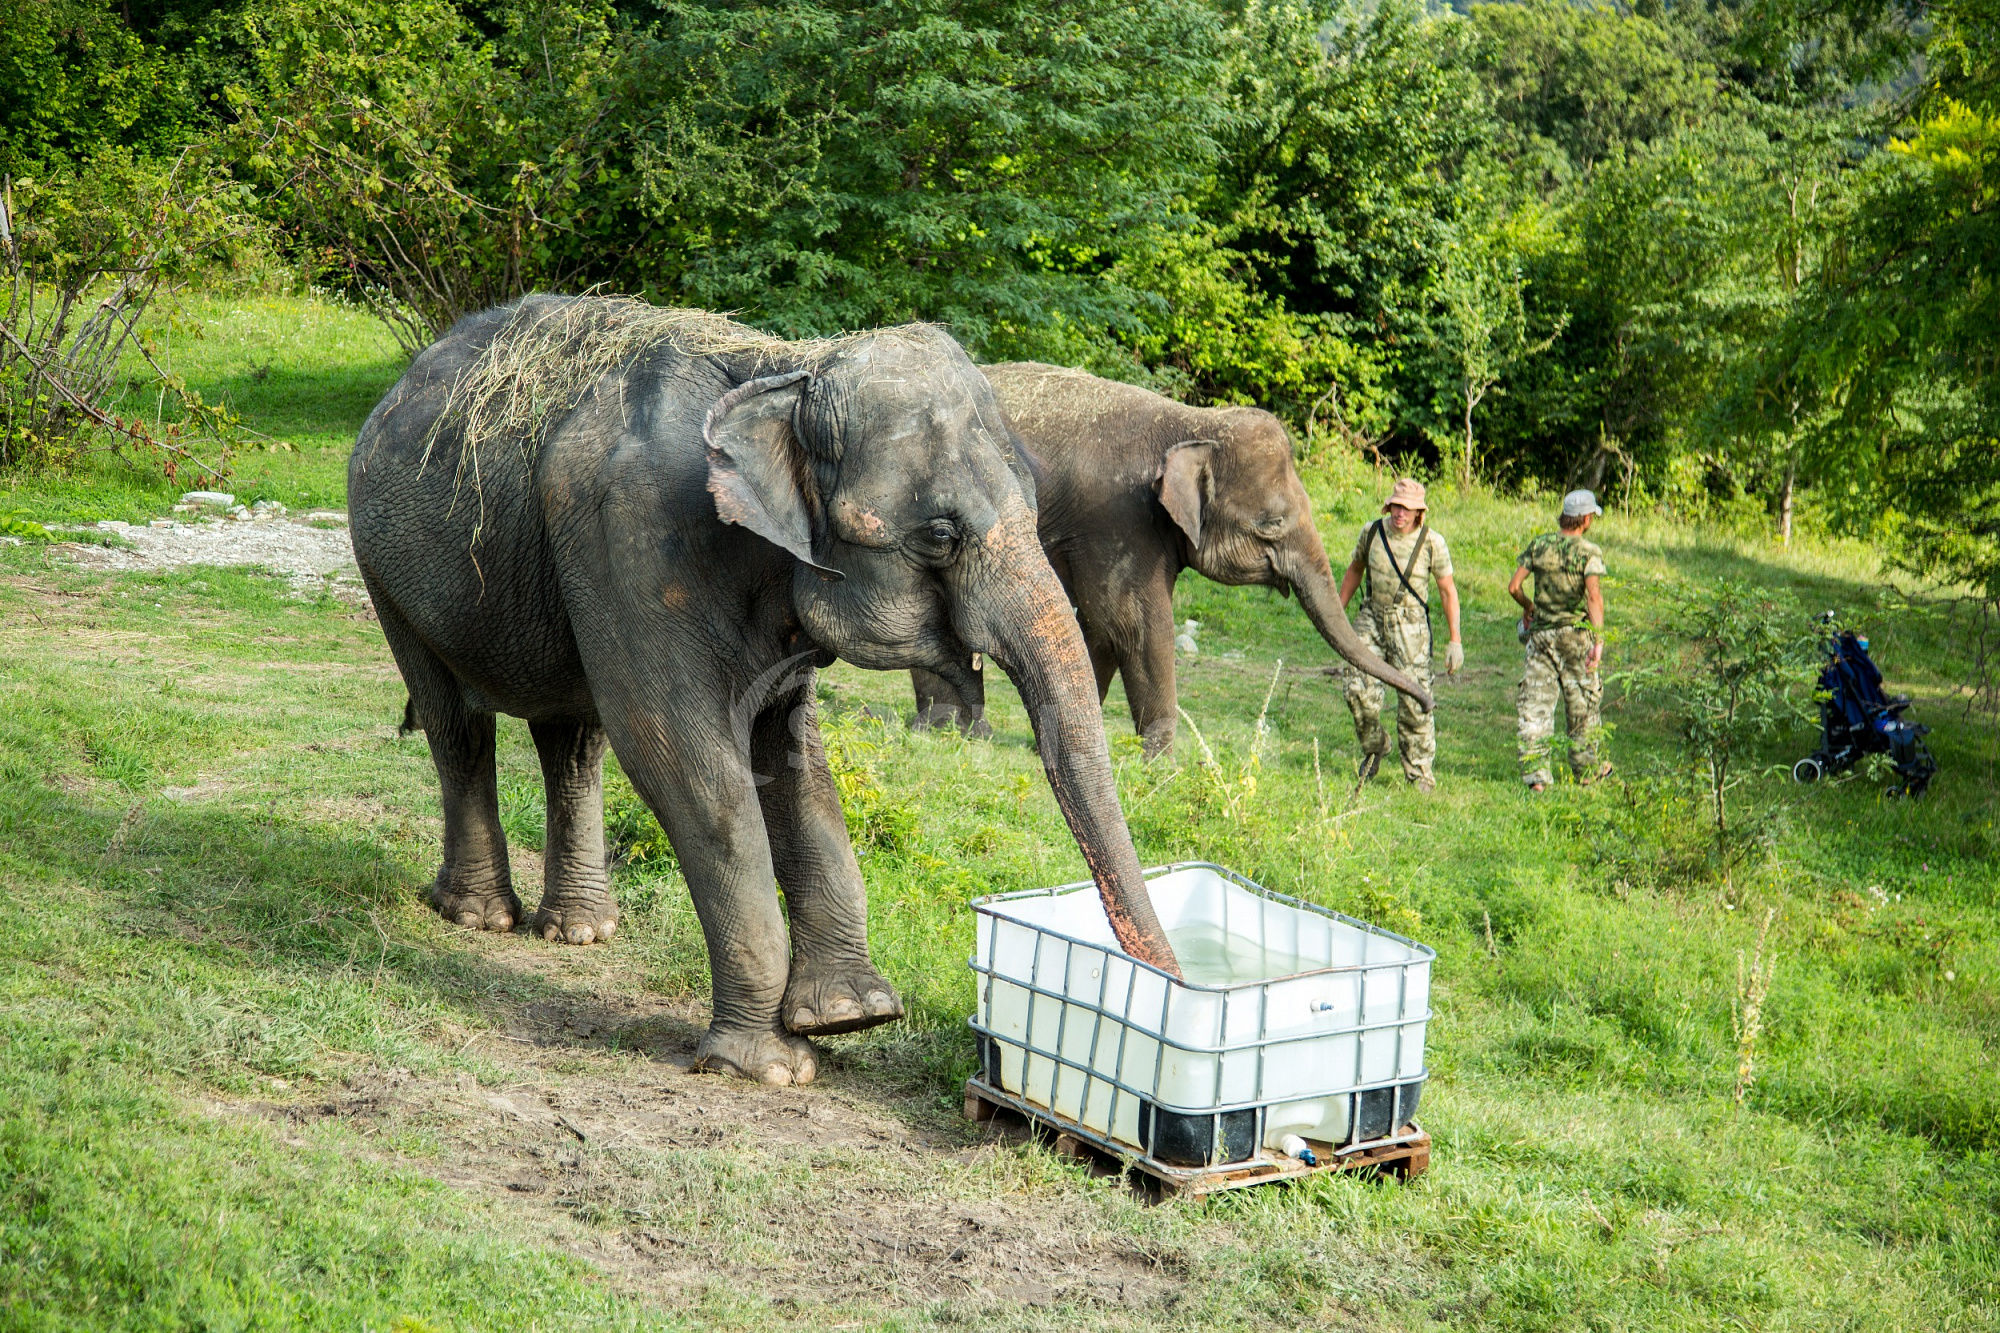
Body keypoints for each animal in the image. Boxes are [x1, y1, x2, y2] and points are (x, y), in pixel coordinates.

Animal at [352, 294, 1176, 1080]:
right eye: (940, 537)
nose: (1173, 984)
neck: (785, 371)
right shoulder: (630, 539)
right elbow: (679, 755)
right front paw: (769, 1067)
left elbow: (791, 754)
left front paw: (850, 1013)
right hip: (386, 571)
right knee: (457, 726)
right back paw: (479, 916)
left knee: (575, 741)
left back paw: (580, 929)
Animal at [916, 364, 1432, 752]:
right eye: (1272, 524)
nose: (1427, 703)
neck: (1194, 423)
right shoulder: (1117, 520)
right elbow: (1131, 624)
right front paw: (1164, 764)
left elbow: (1101, 630)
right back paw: (949, 731)